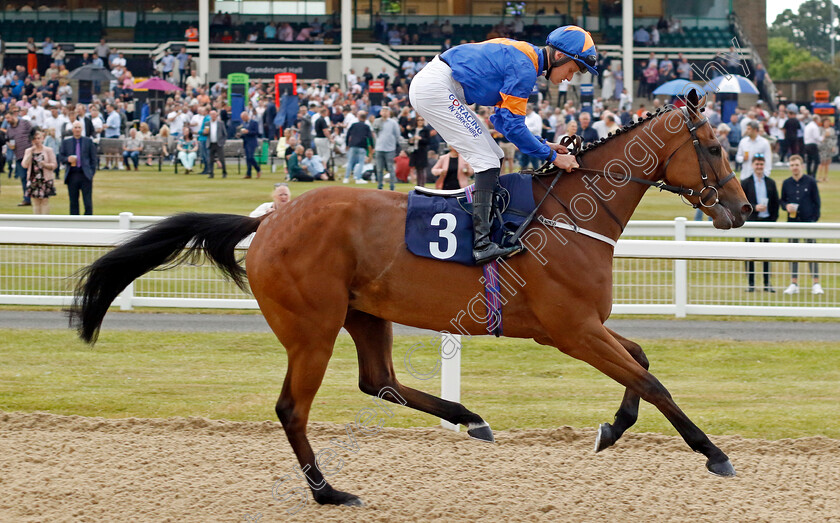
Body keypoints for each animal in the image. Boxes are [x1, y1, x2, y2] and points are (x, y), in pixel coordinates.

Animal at [72, 90, 752, 508]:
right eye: (716, 147)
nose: (744, 209)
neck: (569, 216)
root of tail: (267, 221)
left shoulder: (586, 325)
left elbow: (641, 361)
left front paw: (613, 427)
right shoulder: (570, 330)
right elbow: (652, 379)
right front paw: (714, 453)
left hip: (365, 315)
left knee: (380, 381)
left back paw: (470, 418)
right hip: (313, 329)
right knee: (294, 408)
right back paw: (327, 491)